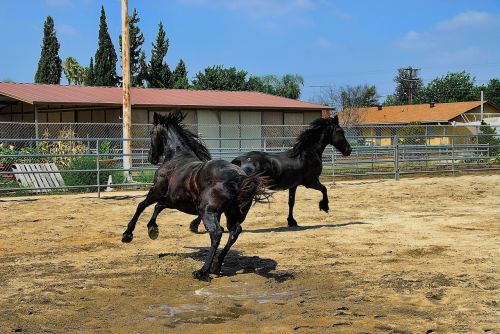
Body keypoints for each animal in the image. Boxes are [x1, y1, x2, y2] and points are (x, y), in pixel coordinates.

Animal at [121, 112, 268, 282]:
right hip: (234, 213)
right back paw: (216, 266)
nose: (151, 158)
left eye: (151, 132)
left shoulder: (156, 191)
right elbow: (158, 206)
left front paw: (127, 234)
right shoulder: (176, 201)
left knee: (217, 233)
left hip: (207, 211)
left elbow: (142, 205)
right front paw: (153, 229)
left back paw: (202, 271)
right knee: (234, 232)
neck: (176, 157)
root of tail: (239, 177)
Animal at [189, 115, 354, 232]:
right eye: (340, 132)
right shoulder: (310, 182)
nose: (349, 150)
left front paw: (291, 221)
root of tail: (240, 160)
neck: (308, 153)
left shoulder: (294, 185)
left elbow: (291, 202)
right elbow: (324, 189)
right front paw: (324, 207)